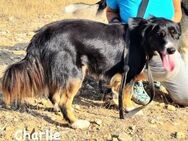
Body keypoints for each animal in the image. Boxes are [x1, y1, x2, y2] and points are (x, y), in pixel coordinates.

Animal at [1, 17, 181, 128]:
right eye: (160, 34)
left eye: (175, 35)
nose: (171, 50)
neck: (142, 35)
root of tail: (42, 34)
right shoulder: (128, 75)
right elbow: (127, 94)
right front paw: (130, 109)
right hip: (75, 74)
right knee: (64, 101)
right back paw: (76, 123)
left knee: (53, 94)